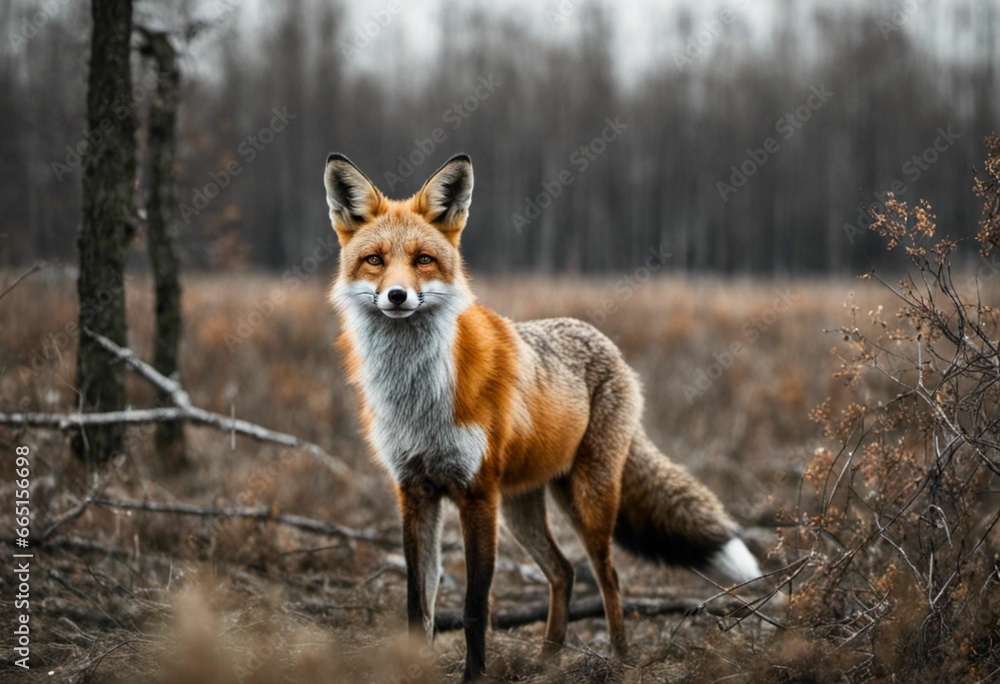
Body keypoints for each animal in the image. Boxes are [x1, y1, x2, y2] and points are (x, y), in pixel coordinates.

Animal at [323, 152, 761, 681]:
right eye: (375, 260)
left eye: (423, 259)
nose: (397, 296)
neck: (418, 397)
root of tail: (605, 343)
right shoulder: (414, 492)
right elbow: (418, 606)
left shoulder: (477, 493)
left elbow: (475, 608)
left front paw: (474, 676)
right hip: (523, 507)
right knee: (563, 571)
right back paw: (548, 659)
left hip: (586, 500)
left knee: (608, 576)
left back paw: (620, 658)